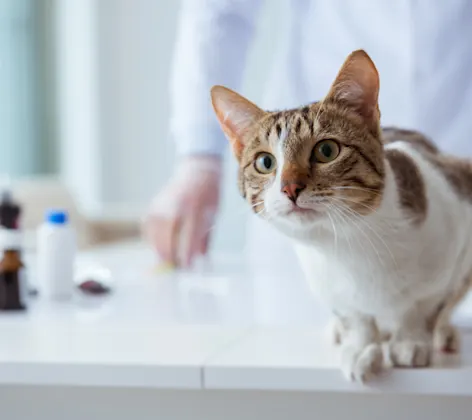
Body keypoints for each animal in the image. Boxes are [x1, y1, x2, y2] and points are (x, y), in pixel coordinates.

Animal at [211, 50, 472, 384]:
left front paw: (410, 340)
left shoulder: (457, 221)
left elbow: (424, 305)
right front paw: (361, 346)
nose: (289, 187)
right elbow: (355, 317)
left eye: (326, 150)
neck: (350, 243)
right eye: (265, 162)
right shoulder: (330, 288)